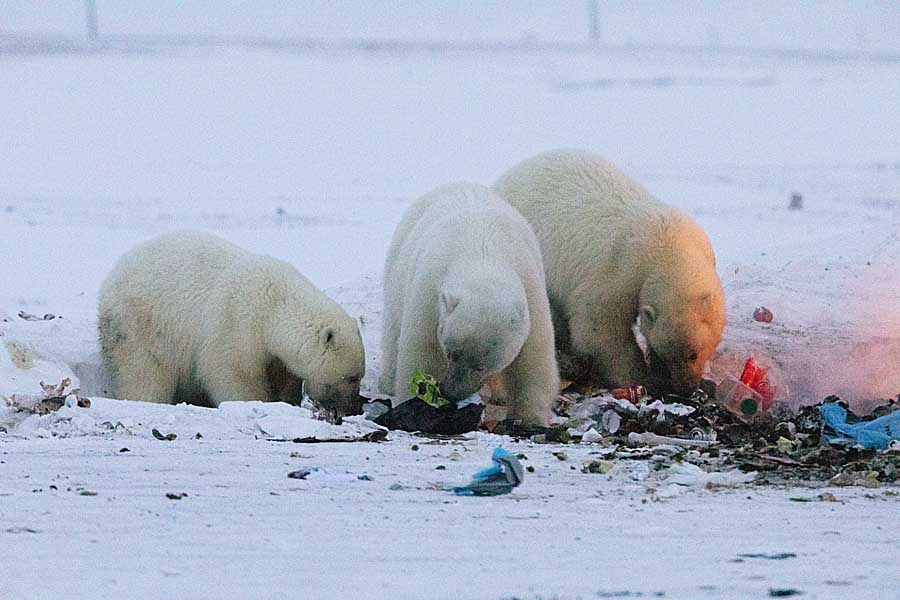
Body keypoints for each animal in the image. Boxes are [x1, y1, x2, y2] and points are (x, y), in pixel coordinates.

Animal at [96, 232, 364, 414]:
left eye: (359, 376)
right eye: (351, 377)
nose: (354, 407)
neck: (274, 303)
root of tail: (112, 275)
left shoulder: (275, 353)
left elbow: (283, 374)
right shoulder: (236, 323)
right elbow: (232, 373)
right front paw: (257, 402)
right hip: (139, 326)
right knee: (143, 373)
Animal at [382, 180, 564, 424]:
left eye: (481, 367)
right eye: (452, 353)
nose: (451, 392)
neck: (483, 255)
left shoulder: (531, 288)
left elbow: (533, 356)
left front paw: (530, 417)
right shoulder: (429, 290)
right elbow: (423, 349)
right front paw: (419, 403)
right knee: (393, 327)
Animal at [496, 148, 728, 396]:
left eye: (693, 354)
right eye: (670, 355)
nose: (685, 387)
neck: (669, 248)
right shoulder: (623, 270)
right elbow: (599, 327)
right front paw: (645, 378)